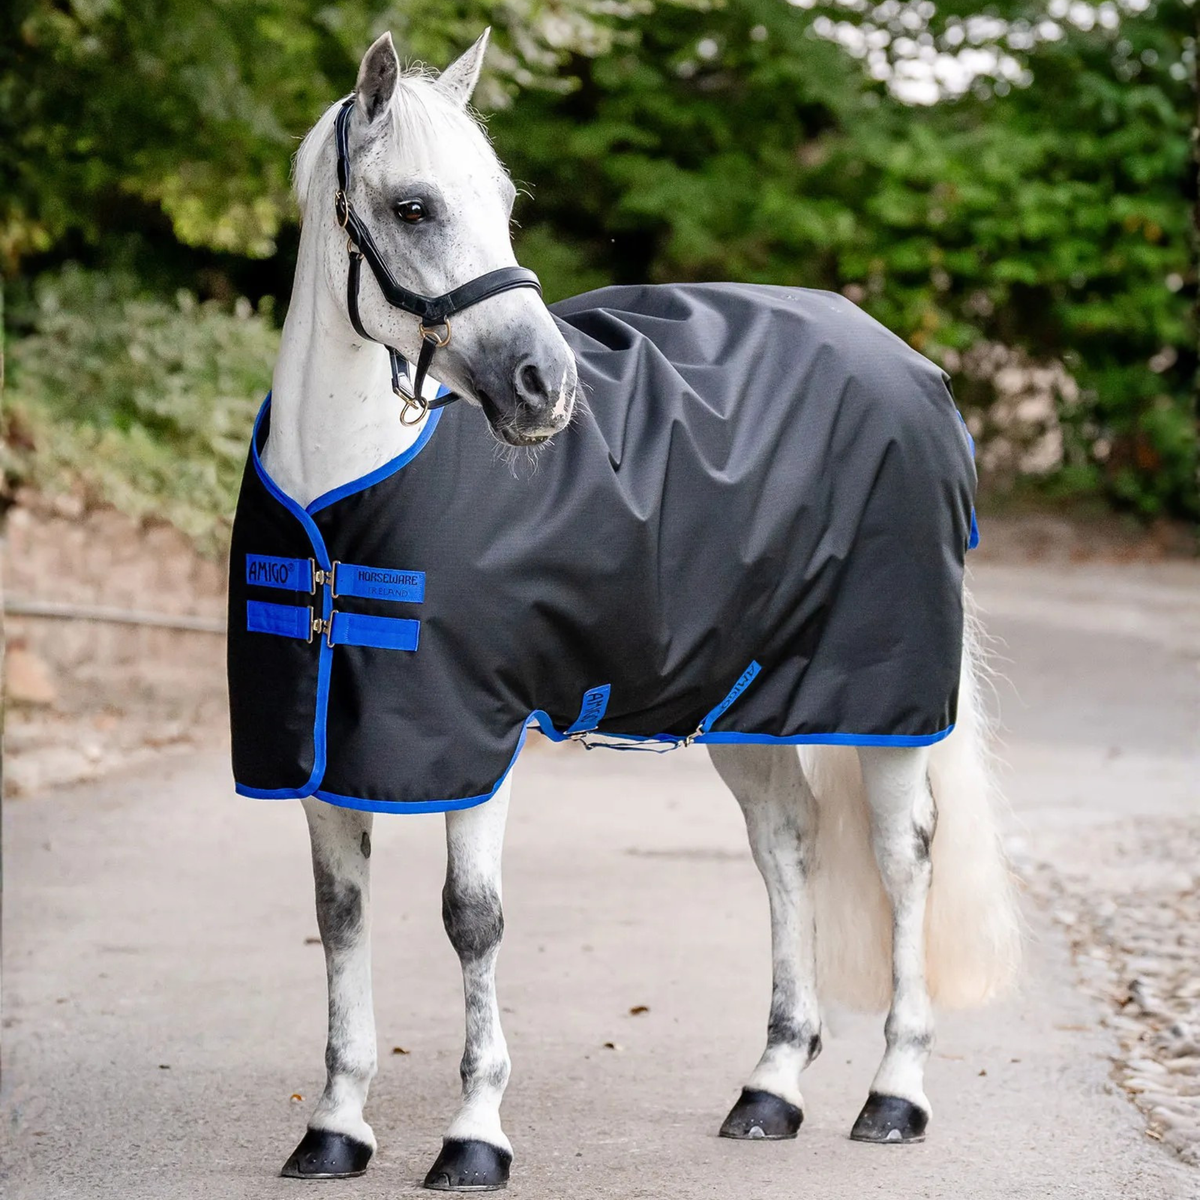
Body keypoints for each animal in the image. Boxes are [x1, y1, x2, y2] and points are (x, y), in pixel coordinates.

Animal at [236, 28, 1021, 1191]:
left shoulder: (479, 739)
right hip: (747, 704)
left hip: (885, 703)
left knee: (902, 858)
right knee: (786, 846)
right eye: (414, 206)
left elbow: (472, 921)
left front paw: (474, 1136)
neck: (344, 501)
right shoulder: (325, 751)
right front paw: (335, 1126)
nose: (544, 386)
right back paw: (771, 1088)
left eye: (504, 200)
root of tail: (914, 368)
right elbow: (341, 921)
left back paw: (895, 1094)